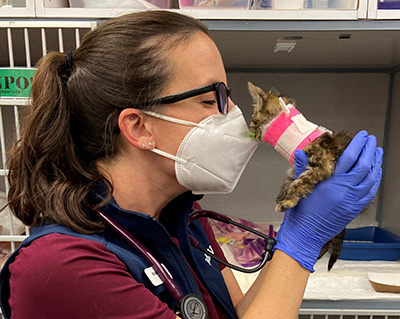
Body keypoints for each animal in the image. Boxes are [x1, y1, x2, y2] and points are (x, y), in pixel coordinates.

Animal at [248, 81, 354, 272]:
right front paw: (281, 197)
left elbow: (300, 182)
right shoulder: (294, 168)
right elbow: (288, 182)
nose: (249, 128)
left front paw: (287, 202)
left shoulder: (322, 165)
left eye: (253, 118)